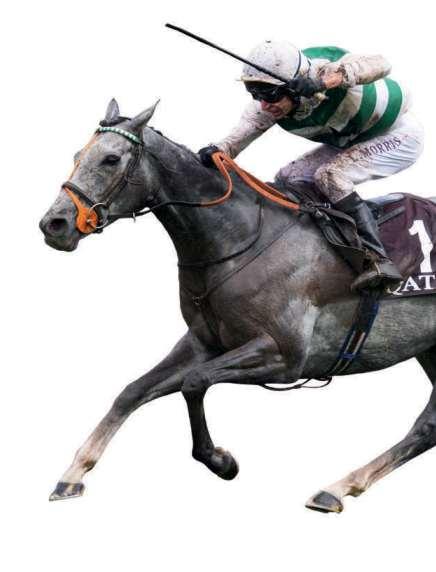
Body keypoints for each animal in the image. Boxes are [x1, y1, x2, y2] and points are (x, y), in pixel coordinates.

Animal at [40, 99, 436, 513]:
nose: (54, 224)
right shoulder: (205, 341)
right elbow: (131, 392)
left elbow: (195, 383)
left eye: (111, 159)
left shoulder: (286, 357)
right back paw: (337, 488)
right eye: (77, 156)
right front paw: (72, 474)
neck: (238, 238)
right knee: (429, 426)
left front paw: (221, 460)